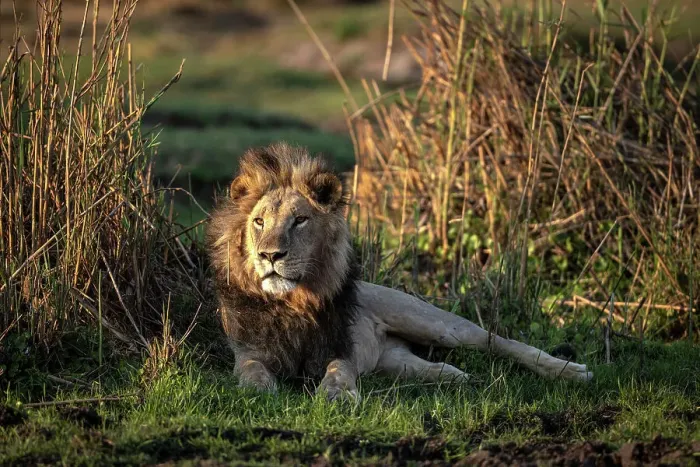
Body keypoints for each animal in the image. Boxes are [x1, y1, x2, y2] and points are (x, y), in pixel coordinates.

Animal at [206, 142, 593, 401]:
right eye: (259, 222)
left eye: (300, 220)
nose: (270, 255)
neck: (291, 302)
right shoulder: (248, 350)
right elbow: (251, 370)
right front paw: (260, 390)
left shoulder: (341, 346)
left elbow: (338, 370)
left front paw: (336, 395)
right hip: (395, 360)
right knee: (430, 367)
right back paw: (455, 377)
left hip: (434, 324)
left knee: (500, 341)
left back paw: (571, 371)